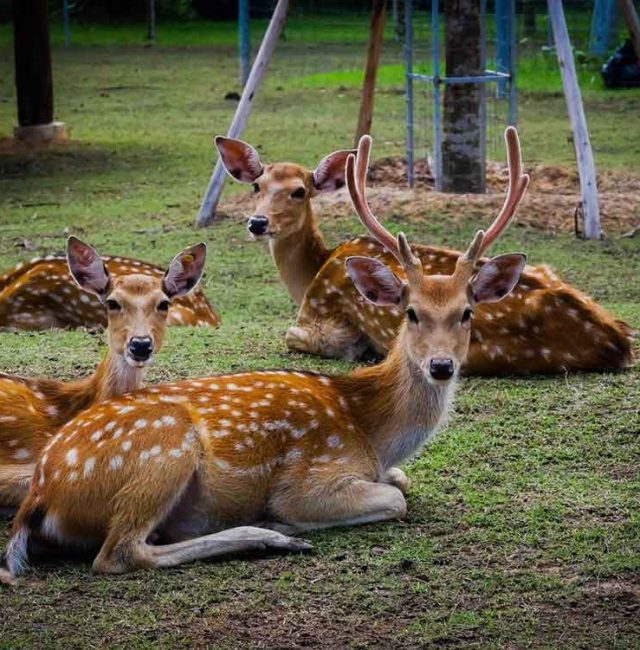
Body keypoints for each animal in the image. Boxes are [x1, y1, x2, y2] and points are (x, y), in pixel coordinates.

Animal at [218, 129, 632, 372]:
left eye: (299, 191)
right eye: (256, 186)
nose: (258, 223)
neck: (312, 273)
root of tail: (617, 340)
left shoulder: (322, 317)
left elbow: (295, 336)